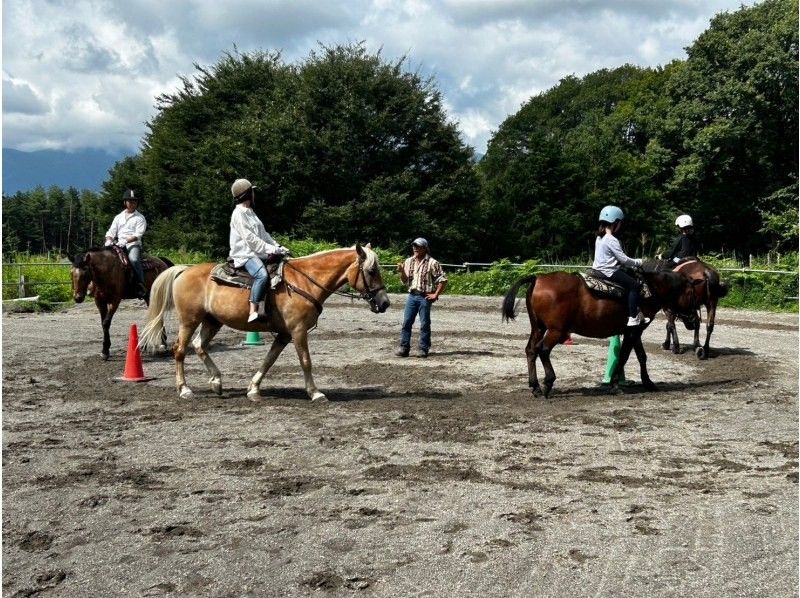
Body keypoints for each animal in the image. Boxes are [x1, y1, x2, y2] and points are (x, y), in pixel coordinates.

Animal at [140, 244, 390, 404]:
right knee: (180, 350)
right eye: (371, 270)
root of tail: (184, 269)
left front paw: (253, 389)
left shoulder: (284, 334)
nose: (385, 302)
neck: (304, 282)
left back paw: (217, 382)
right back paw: (184, 389)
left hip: (212, 321)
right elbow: (306, 361)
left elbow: (269, 360)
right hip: (189, 320)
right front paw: (315, 393)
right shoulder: (298, 331)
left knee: (199, 346)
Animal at [504, 270, 704, 400]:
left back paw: (535, 387)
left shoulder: (635, 331)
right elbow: (624, 357)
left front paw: (648, 382)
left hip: (538, 328)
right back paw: (548, 383)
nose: (694, 321)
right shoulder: (633, 331)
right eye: (692, 294)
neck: (650, 290)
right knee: (543, 350)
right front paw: (615, 384)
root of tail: (538, 279)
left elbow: (642, 356)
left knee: (531, 350)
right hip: (556, 330)